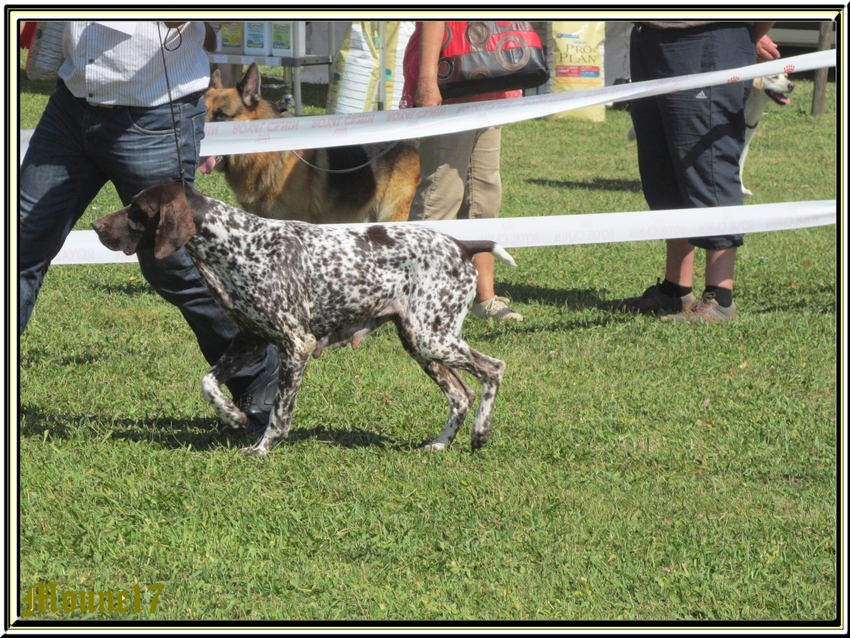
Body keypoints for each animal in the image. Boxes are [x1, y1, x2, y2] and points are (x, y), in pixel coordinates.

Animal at [93, 182, 516, 458]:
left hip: (432, 338)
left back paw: (480, 434)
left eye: (137, 210)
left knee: (493, 369)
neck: (238, 244)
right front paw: (232, 416)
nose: (96, 227)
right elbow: (208, 382)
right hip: (420, 342)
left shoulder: (296, 345)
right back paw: (441, 444)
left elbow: (280, 413)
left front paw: (262, 448)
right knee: (461, 395)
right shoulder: (250, 339)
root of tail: (463, 244)